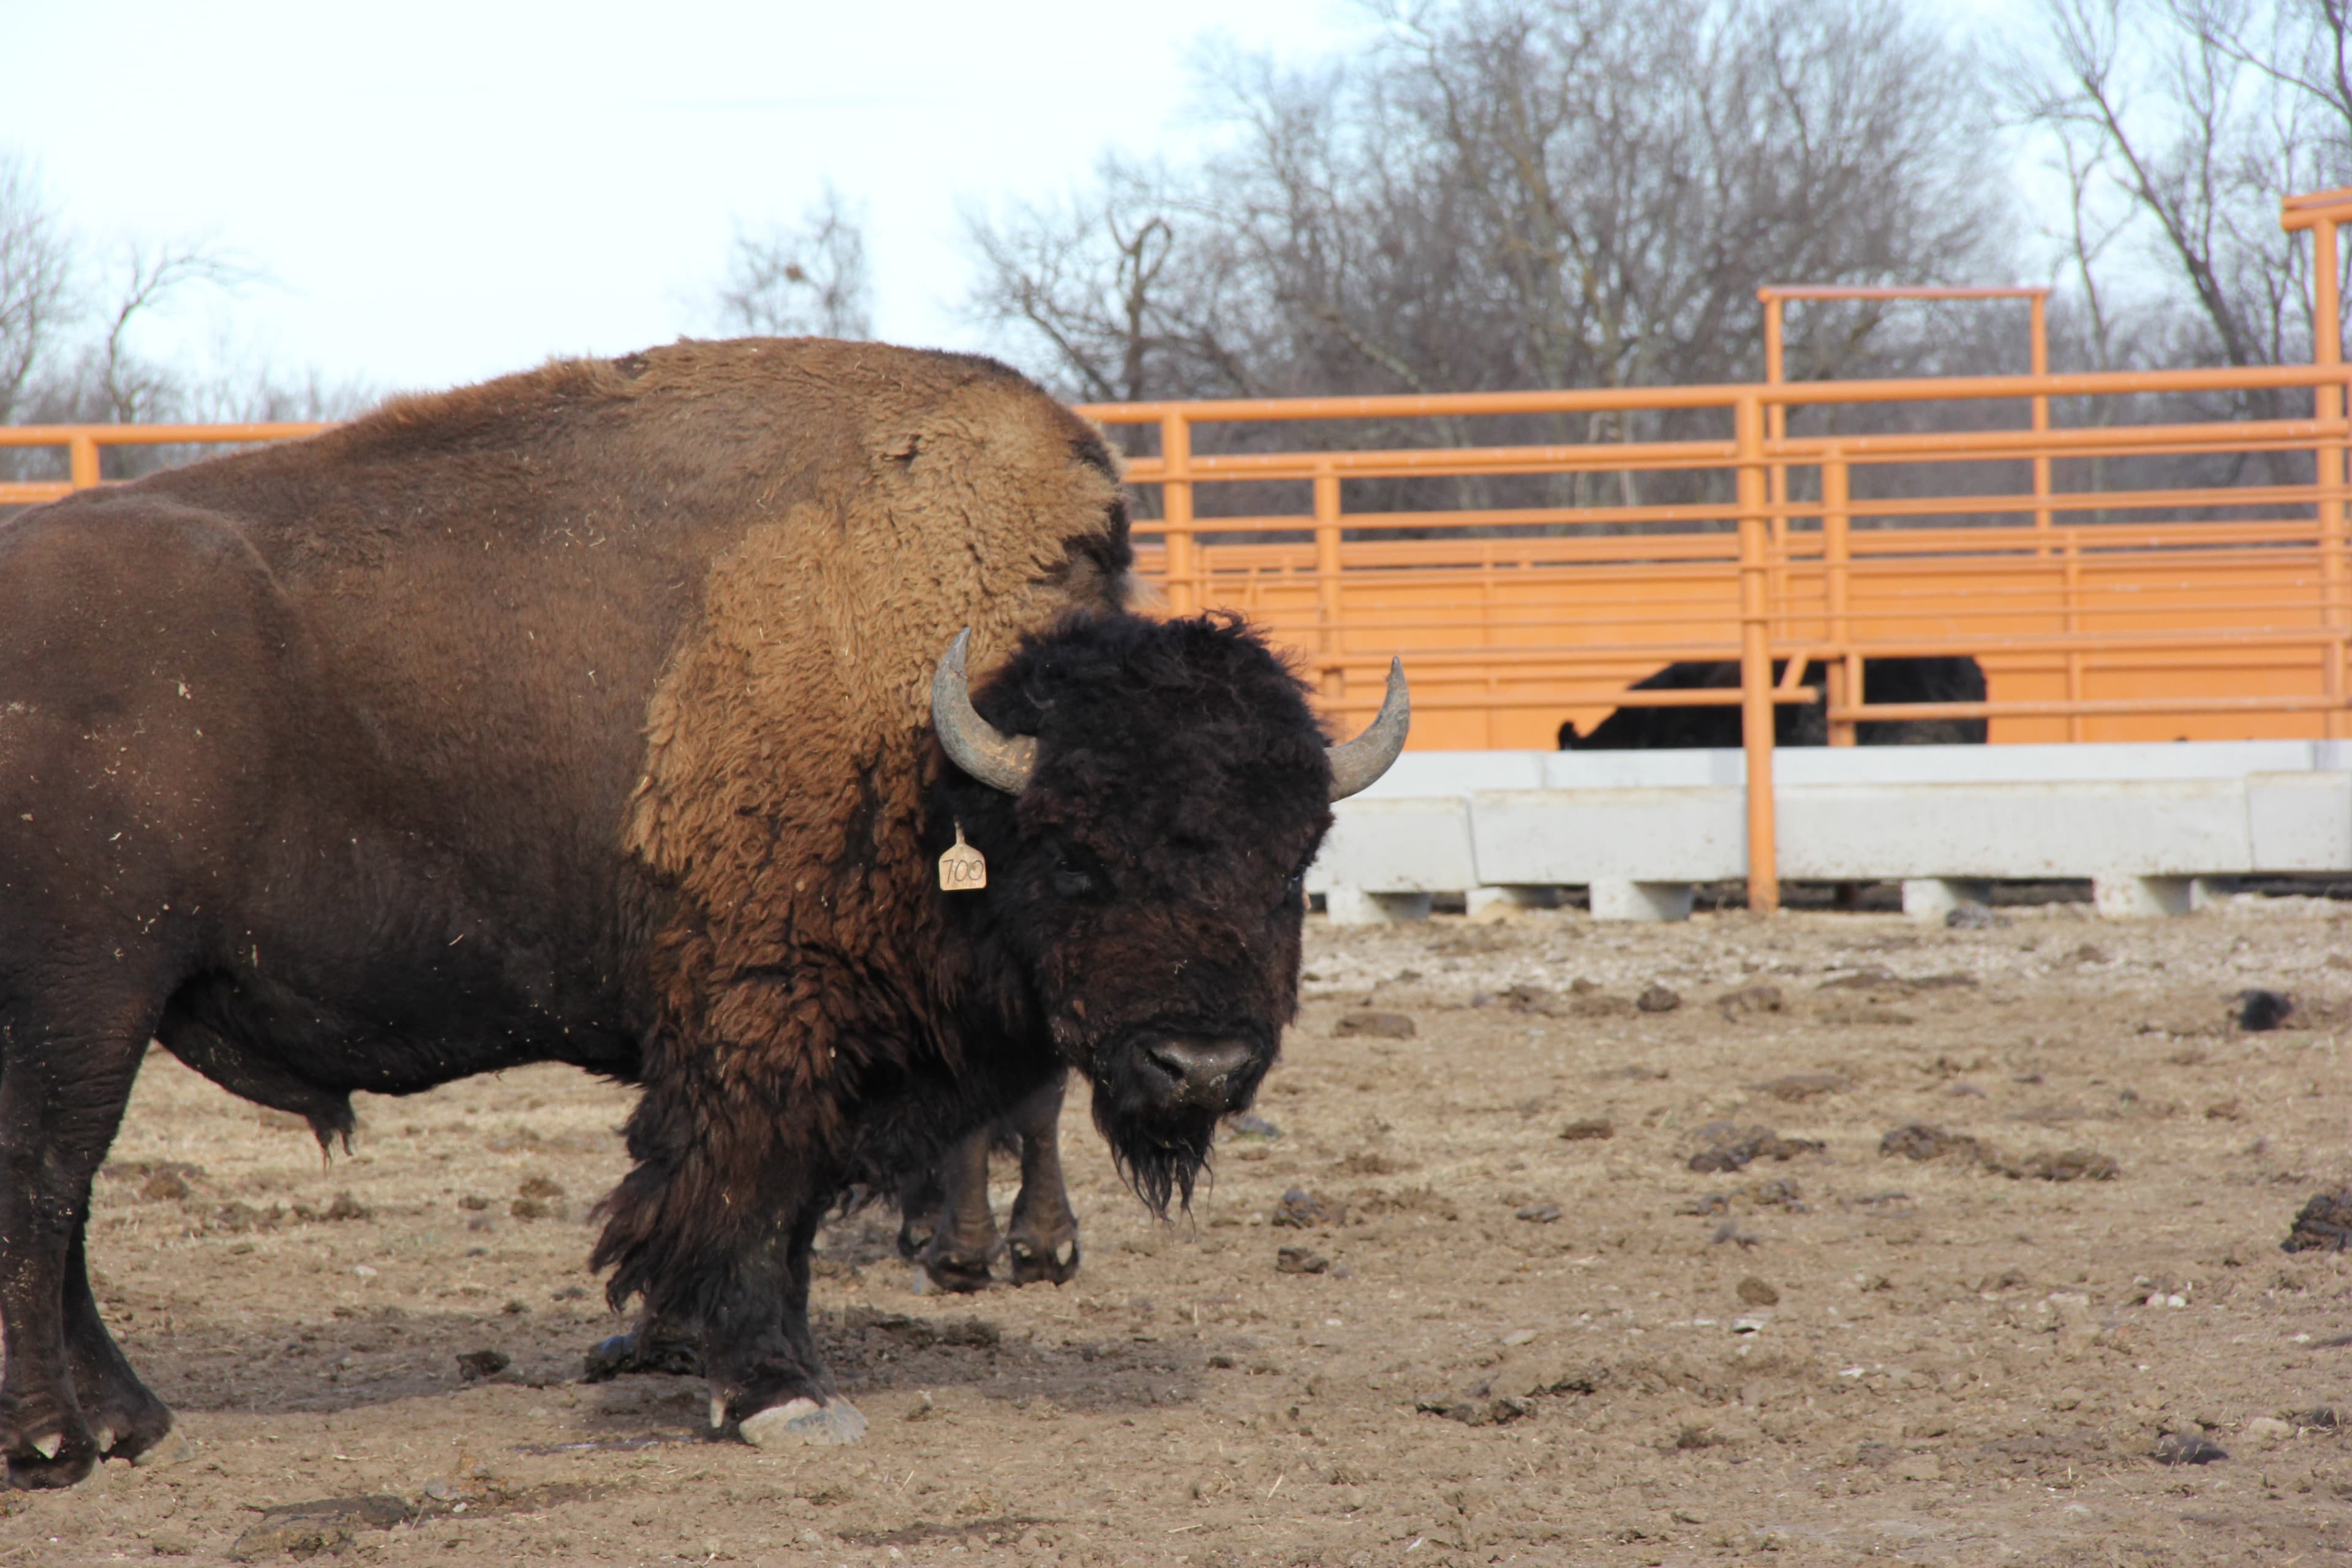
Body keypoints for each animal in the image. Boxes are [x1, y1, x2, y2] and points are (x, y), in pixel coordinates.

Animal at [0, 339, 1408, 1485]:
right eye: (1073, 854)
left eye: (1297, 854)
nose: (1199, 1064)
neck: (934, 746)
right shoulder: (763, 1021)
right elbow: (744, 1188)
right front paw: (777, 1393)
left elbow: (788, 1210)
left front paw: (732, 1365)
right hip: (89, 1000)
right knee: (49, 1188)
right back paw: (62, 1442)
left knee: (65, 1204)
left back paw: (132, 1421)